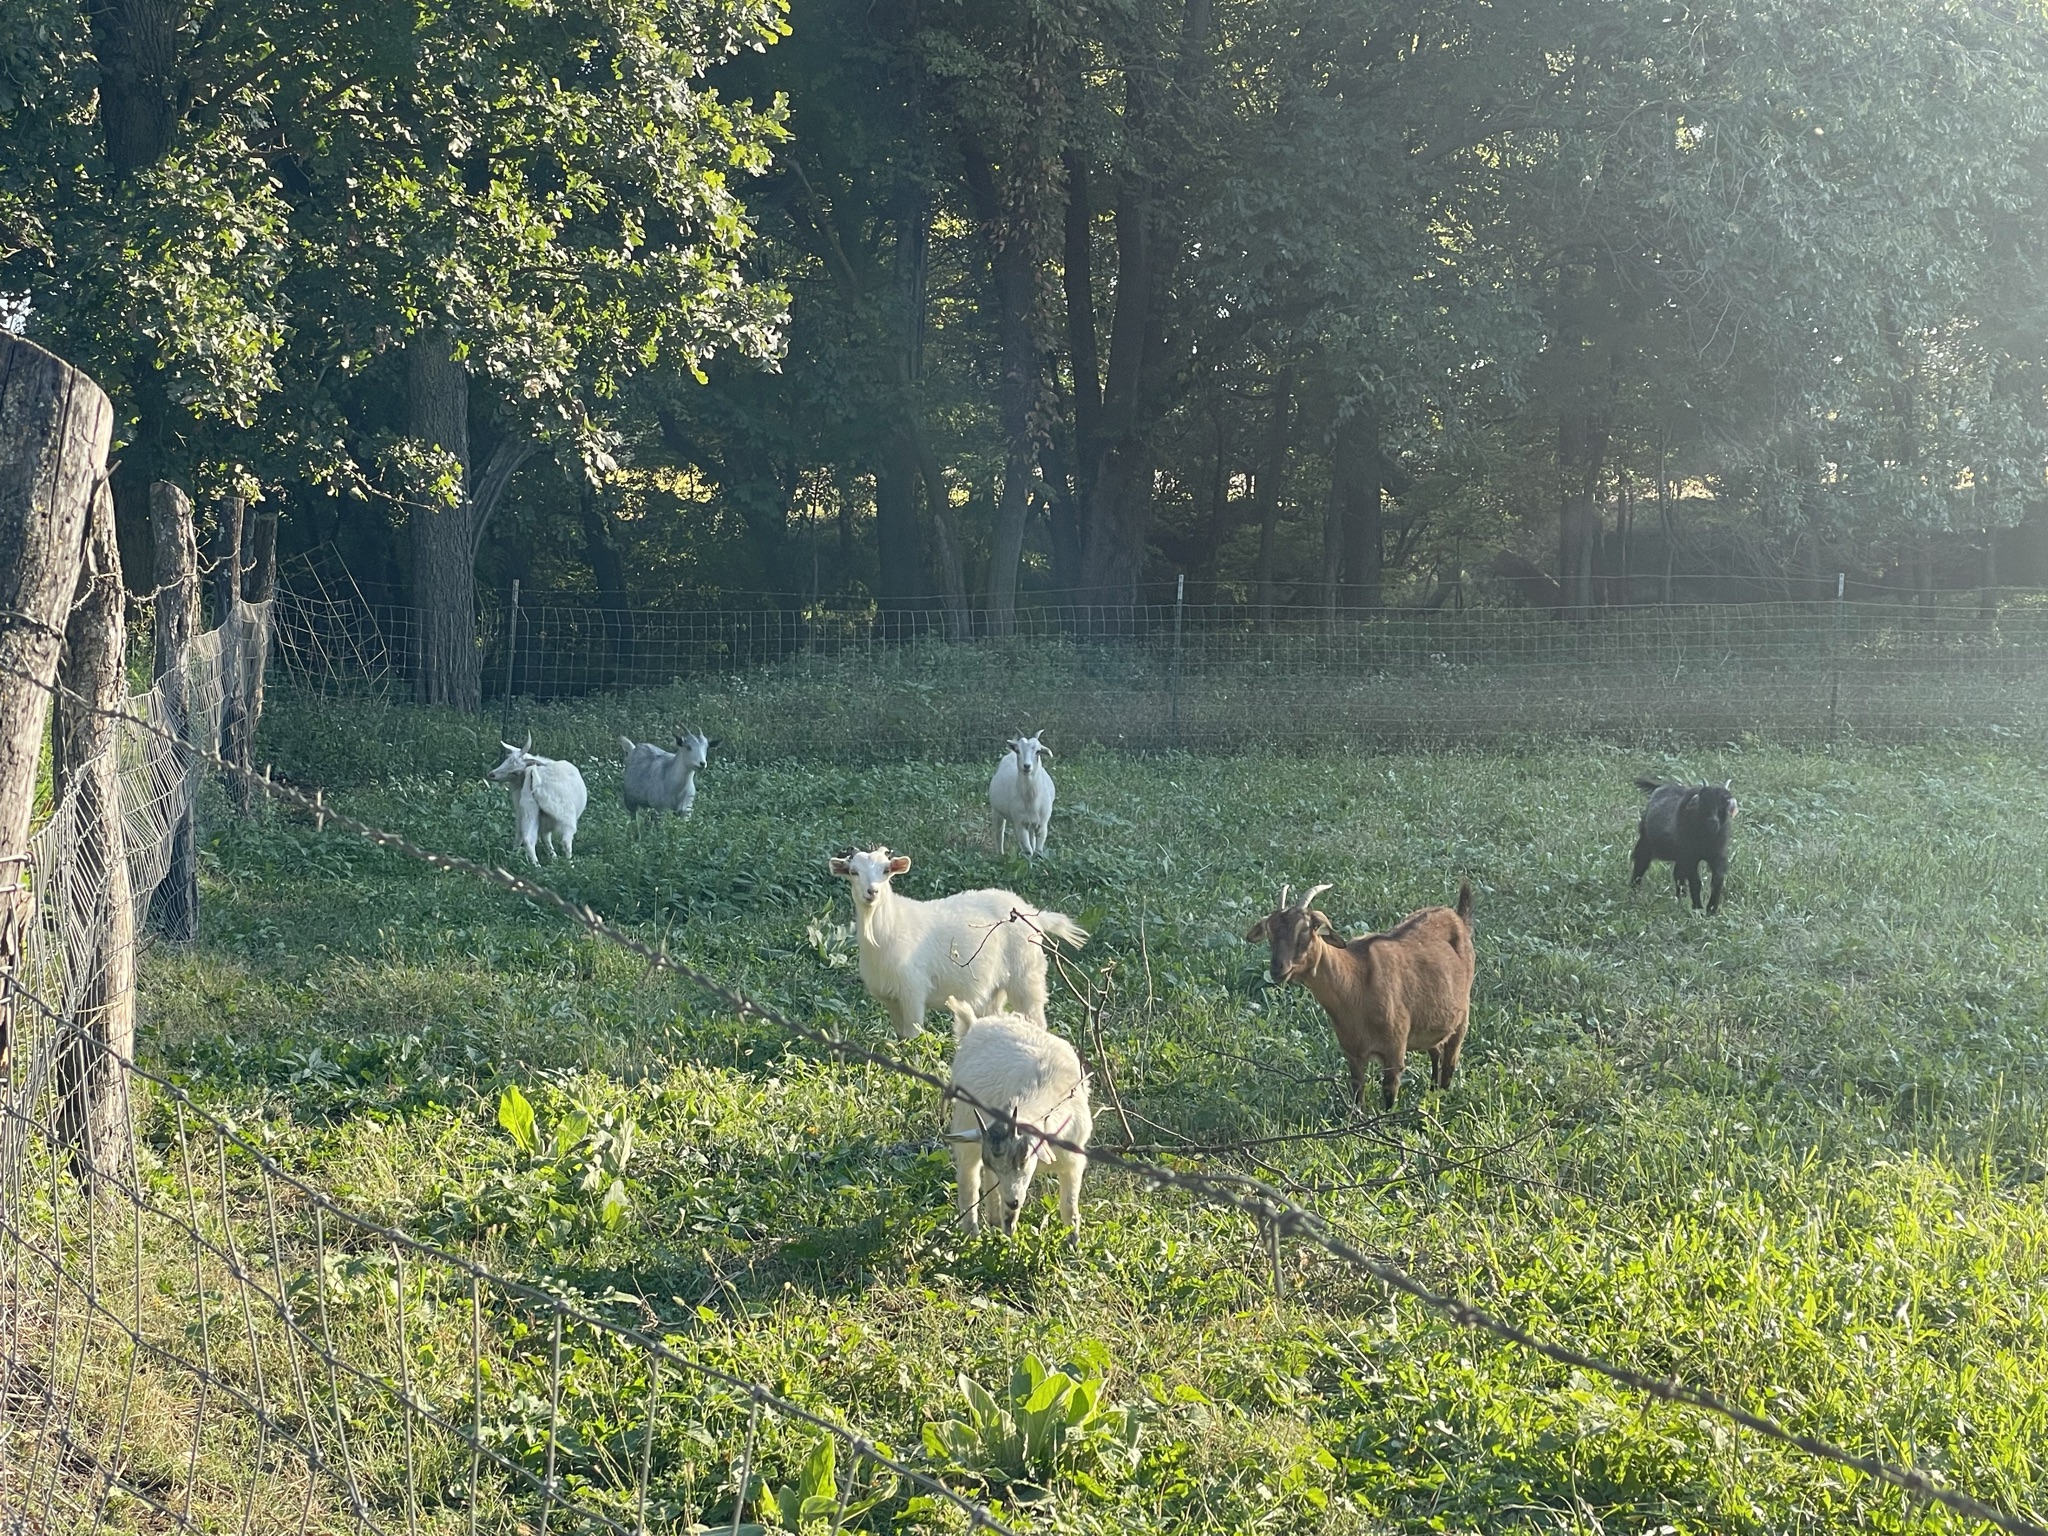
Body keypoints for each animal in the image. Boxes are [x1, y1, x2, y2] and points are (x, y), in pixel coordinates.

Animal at [826, 846, 1088, 1039]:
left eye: (886, 869)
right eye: (853, 872)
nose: (872, 892)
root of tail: (1033, 914)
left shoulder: (913, 990)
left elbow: (913, 1035)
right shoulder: (889, 997)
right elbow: (900, 1037)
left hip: (1027, 976)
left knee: (1036, 1017)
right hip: (994, 987)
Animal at [941, 999, 1093, 1235]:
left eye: (1023, 1157)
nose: (1013, 1201)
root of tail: (974, 1025)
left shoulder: (1073, 1161)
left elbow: (1070, 1209)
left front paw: (1074, 1242)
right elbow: (1010, 1218)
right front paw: (1009, 1241)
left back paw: (992, 1220)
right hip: (965, 1126)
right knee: (969, 1182)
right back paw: (972, 1234)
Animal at [1246, 880, 1475, 1112]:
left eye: (1306, 928)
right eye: (1270, 931)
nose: (1278, 969)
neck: (1356, 987)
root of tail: (1458, 917)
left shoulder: (1394, 1051)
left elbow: (1389, 1098)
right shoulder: (1352, 1052)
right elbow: (1358, 1096)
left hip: (1461, 1019)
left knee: (1449, 1063)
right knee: (1436, 1053)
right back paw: (1432, 1092)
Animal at [1630, 777, 1738, 913]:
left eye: (1724, 804)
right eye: (1703, 801)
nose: (1713, 822)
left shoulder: (1717, 856)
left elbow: (1717, 880)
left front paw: (1711, 909)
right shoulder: (1689, 858)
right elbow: (1696, 882)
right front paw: (1698, 908)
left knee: (1677, 874)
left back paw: (1680, 898)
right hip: (1646, 842)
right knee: (1640, 865)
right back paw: (1633, 892)